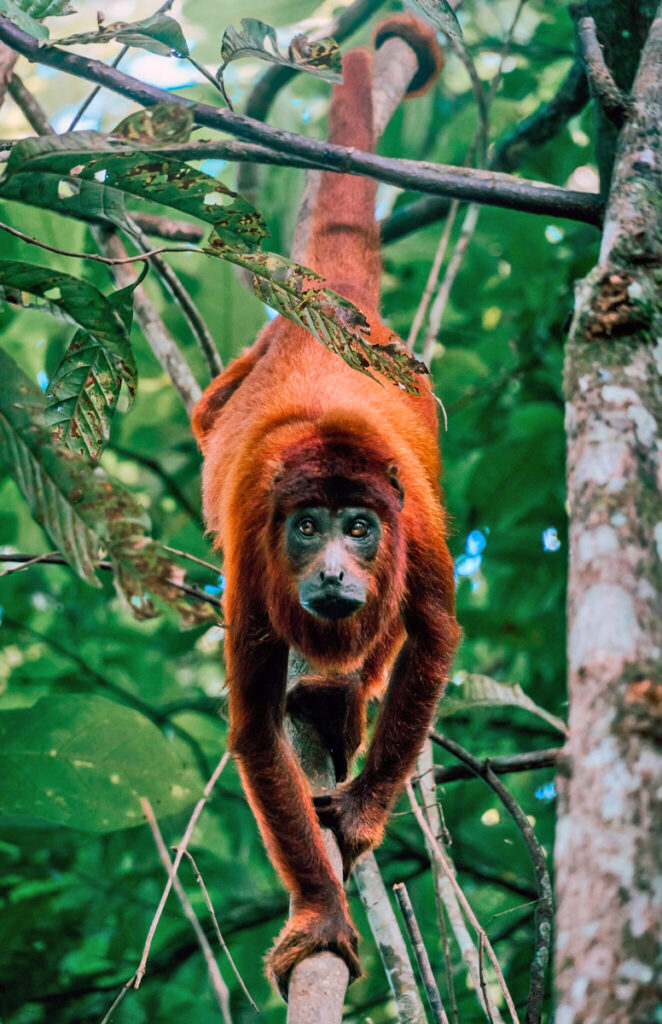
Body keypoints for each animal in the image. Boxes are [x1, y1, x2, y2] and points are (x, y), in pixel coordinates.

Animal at [191, 14, 459, 995]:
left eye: (358, 529)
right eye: (307, 528)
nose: (338, 572)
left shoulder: (417, 528)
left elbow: (434, 637)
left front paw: (370, 808)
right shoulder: (252, 553)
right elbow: (253, 732)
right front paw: (320, 913)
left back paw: (339, 694)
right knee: (207, 414)